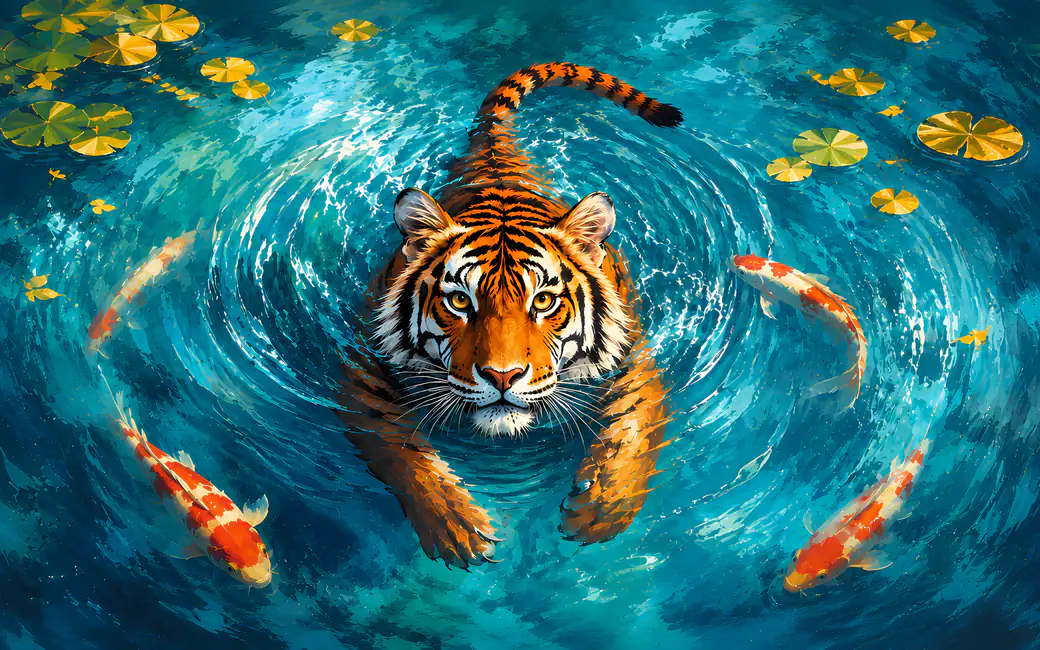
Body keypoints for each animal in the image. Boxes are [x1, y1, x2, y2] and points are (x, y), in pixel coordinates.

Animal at [335, 62, 681, 568]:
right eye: (460, 301)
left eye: (543, 302)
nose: (502, 376)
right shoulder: (361, 373)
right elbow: (397, 447)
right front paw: (456, 526)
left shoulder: (635, 359)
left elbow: (634, 430)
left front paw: (601, 509)